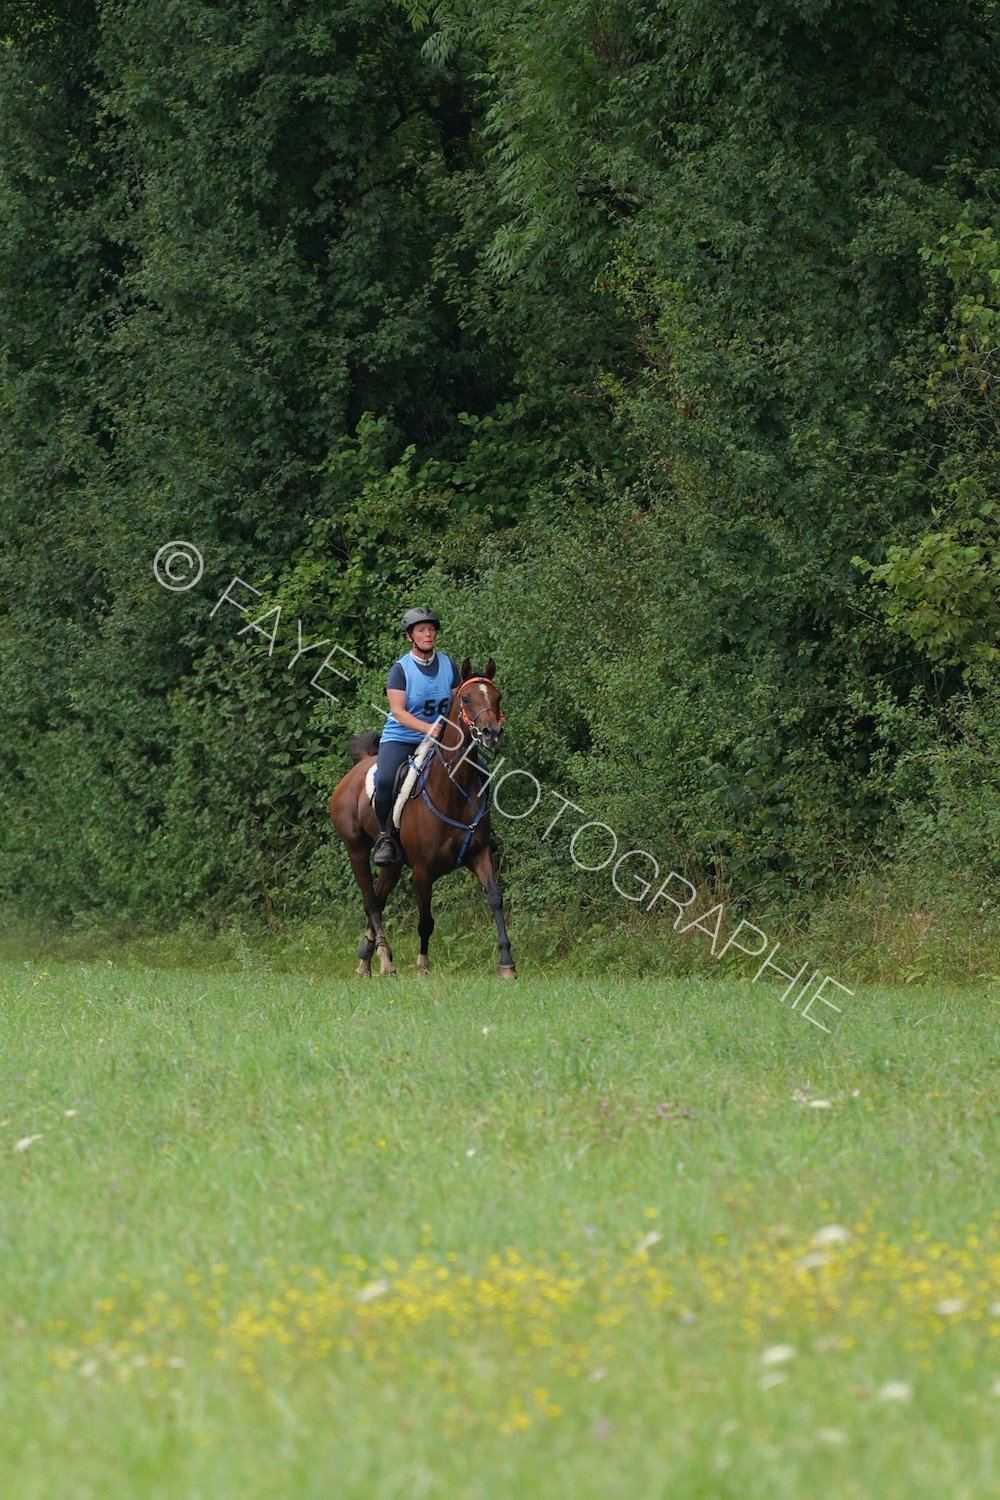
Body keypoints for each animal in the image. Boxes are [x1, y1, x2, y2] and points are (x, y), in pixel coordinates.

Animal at [329, 657, 516, 979]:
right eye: (466, 698)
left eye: (497, 696)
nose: (492, 733)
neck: (453, 790)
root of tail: (355, 769)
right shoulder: (422, 871)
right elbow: (426, 920)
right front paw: (422, 964)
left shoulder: (479, 854)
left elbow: (495, 898)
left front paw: (506, 963)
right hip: (356, 849)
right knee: (370, 902)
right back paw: (384, 958)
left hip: (392, 865)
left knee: (378, 898)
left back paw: (365, 959)